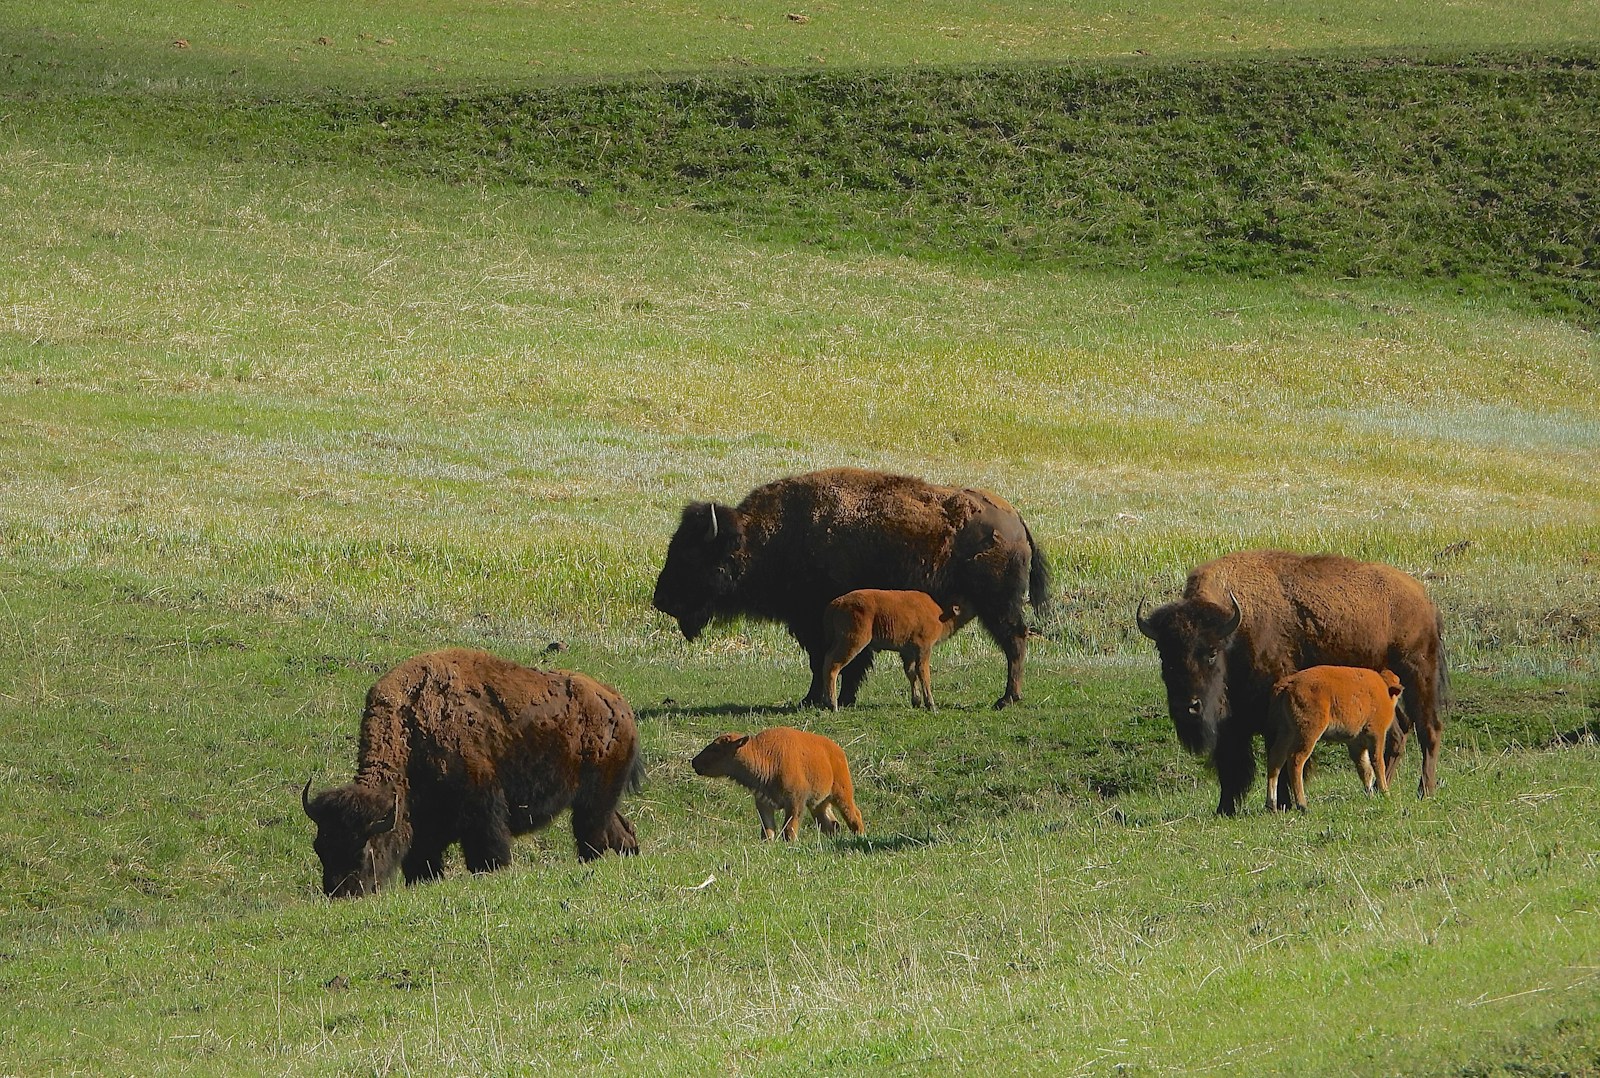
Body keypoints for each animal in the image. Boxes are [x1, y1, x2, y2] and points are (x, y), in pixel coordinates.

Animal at [302, 648, 642, 898]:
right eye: (319, 847)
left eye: (363, 850)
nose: (341, 893)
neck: (412, 726)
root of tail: (619, 704)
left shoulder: (483, 812)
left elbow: (489, 854)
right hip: (599, 802)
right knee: (620, 831)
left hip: (592, 803)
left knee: (593, 837)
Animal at [652, 468, 1052, 709]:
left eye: (691, 556)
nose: (661, 599)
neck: (765, 537)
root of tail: (1015, 519)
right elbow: (832, 662)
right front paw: (826, 698)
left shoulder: (817, 621)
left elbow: (829, 661)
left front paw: (820, 700)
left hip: (998, 605)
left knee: (1015, 641)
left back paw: (1007, 698)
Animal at [1136, 550, 1446, 814]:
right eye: (1164, 654)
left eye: (1211, 653)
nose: (1187, 706)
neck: (1236, 632)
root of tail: (1424, 599)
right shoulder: (1231, 725)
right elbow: (1231, 763)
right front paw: (1225, 808)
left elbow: (1278, 758)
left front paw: (1284, 802)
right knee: (1396, 733)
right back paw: (1381, 789)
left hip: (1418, 674)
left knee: (1428, 730)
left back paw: (1425, 791)